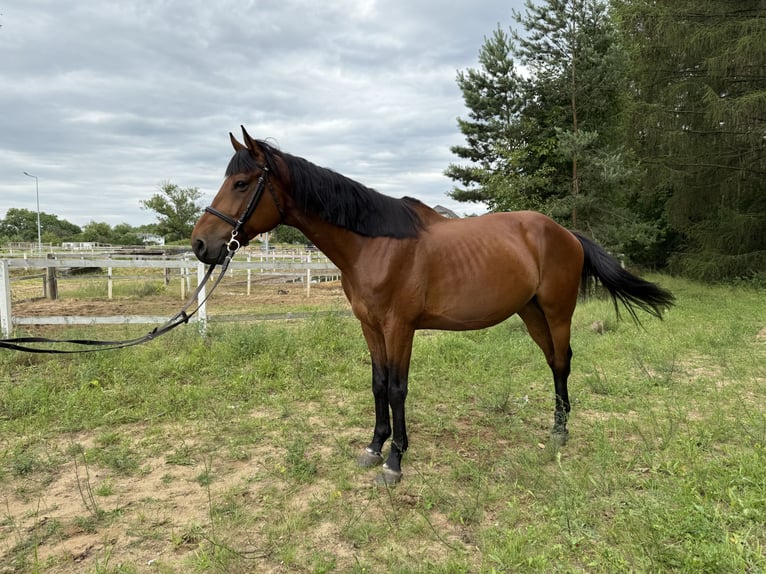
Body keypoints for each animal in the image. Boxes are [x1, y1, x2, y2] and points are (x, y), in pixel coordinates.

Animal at [191, 127, 675, 485]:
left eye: (240, 183)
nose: (200, 245)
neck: (375, 243)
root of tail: (566, 234)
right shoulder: (370, 326)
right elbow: (377, 385)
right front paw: (374, 447)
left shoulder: (399, 326)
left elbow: (397, 388)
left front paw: (395, 461)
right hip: (531, 312)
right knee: (553, 360)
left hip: (556, 312)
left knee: (561, 362)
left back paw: (559, 432)